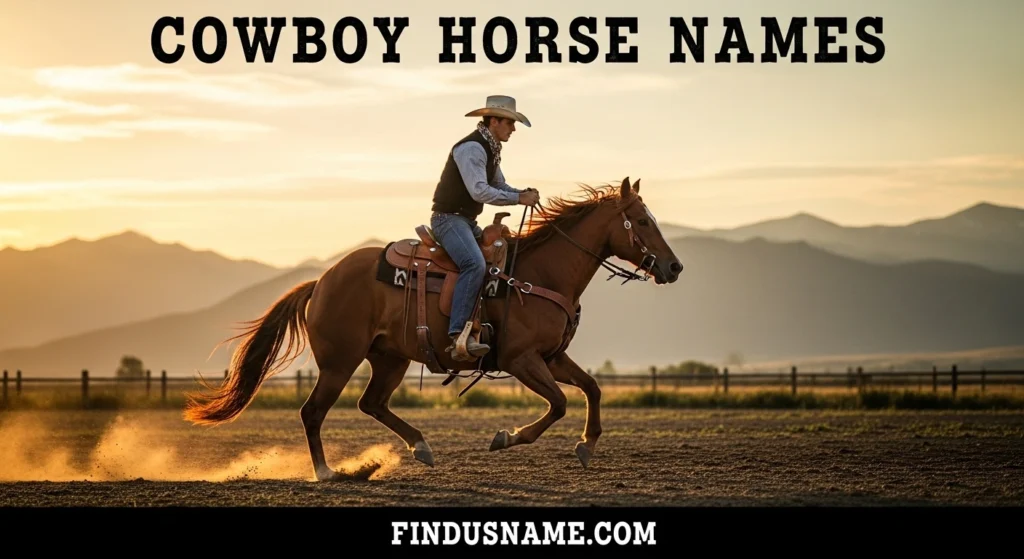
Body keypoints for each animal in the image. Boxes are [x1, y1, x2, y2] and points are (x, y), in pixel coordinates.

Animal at [182, 177, 682, 481]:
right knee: (313, 411)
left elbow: (592, 388)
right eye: (641, 221)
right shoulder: (521, 359)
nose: (674, 267)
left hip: (390, 358)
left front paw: (587, 445)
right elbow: (558, 403)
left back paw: (420, 446)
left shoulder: (552, 357)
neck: (538, 274)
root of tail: (321, 281)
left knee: (371, 403)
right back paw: (326, 473)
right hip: (340, 361)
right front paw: (507, 437)